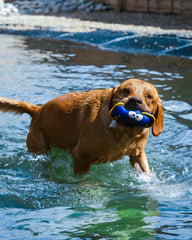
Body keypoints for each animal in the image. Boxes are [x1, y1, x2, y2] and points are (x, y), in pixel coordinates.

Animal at [0, 79, 164, 174]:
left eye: (149, 97)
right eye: (126, 90)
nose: (135, 100)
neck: (123, 132)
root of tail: (37, 110)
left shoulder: (138, 154)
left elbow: (146, 173)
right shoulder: (81, 157)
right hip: (41, 149)